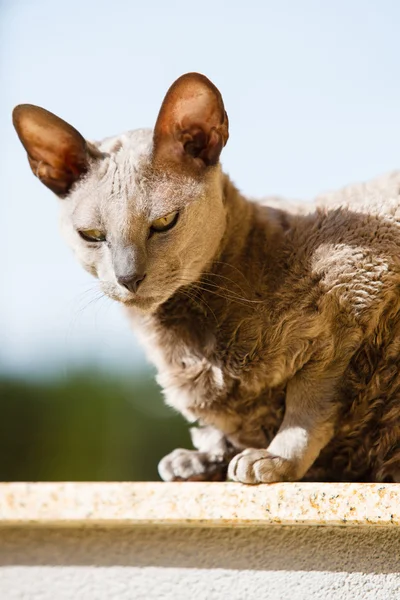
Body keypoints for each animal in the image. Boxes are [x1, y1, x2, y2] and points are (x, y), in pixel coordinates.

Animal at [12, 71, 400, 482]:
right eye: (92, 235)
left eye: (165, 222)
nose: (128, 277)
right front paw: (203, 458)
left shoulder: (354, 299)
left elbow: (307, 403)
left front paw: (275, 458)